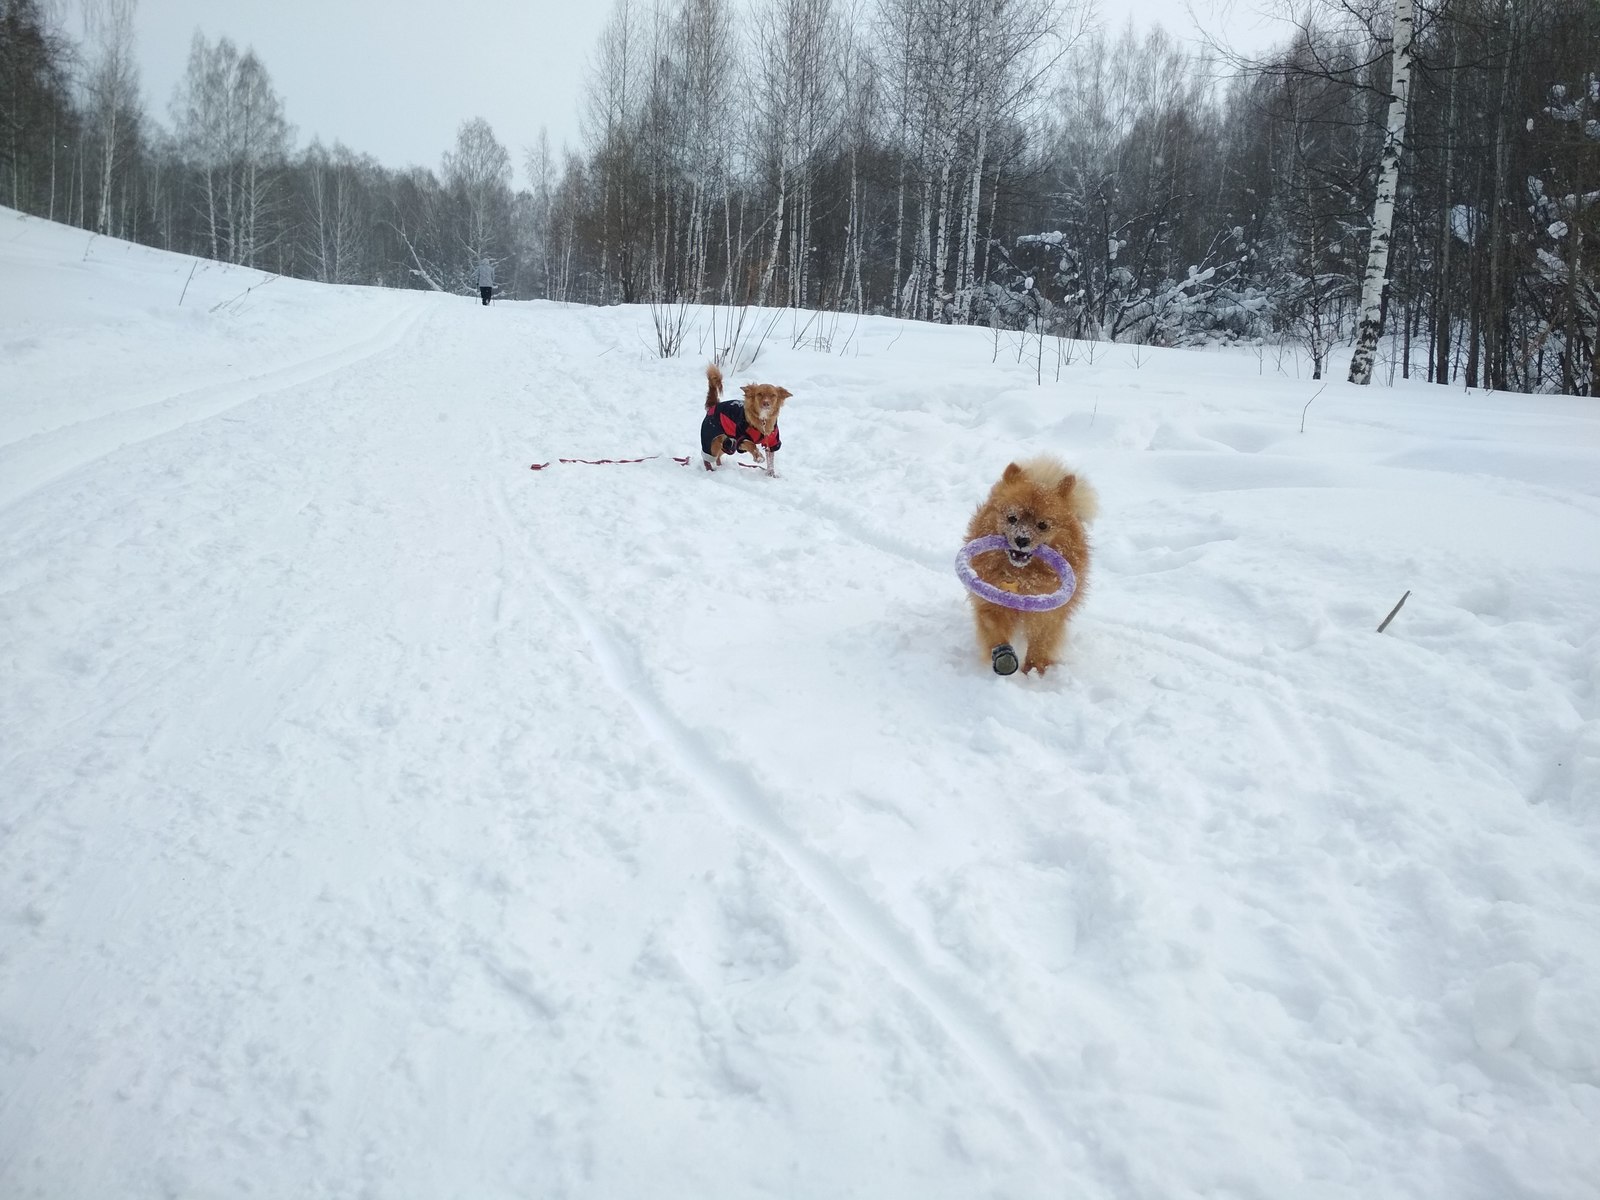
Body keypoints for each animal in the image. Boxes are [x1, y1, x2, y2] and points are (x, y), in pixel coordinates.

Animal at [960, 454, 1100, 678]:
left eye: (1042, 525)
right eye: (1012, 518)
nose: (1022, 539)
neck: (1021, 577)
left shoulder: (1047, 614)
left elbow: (1040, 641)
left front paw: (1035, 669)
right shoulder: (991, 603)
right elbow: (995, 630)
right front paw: (1004, 657)